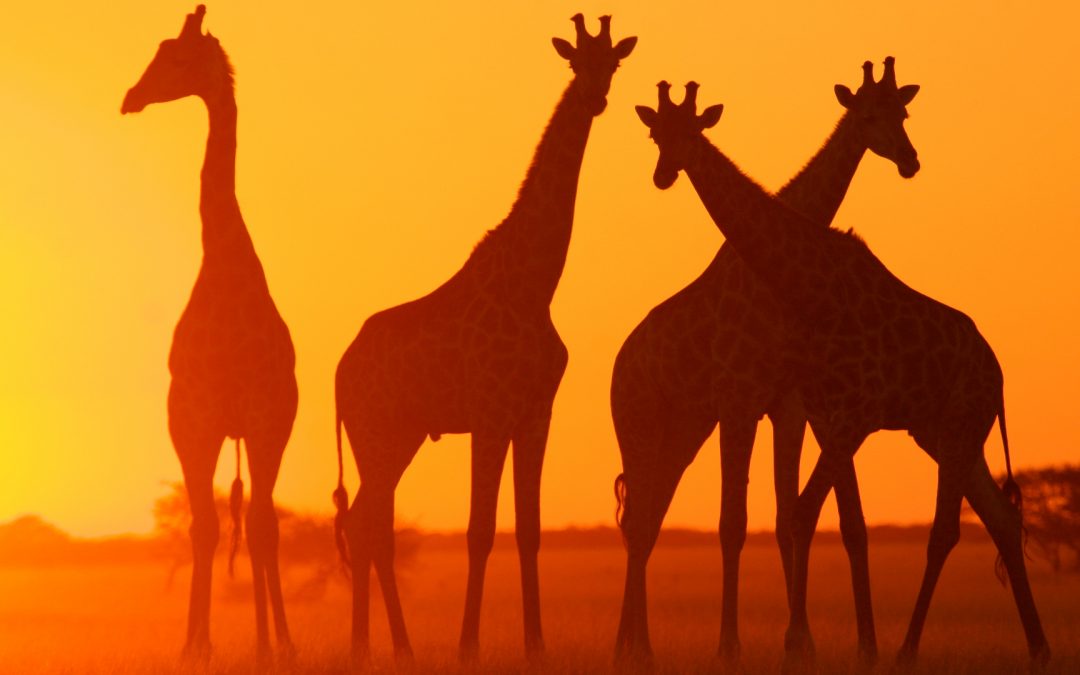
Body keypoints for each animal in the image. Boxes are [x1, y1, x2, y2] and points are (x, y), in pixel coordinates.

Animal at [121, 5, 296, 663]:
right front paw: (196, 645)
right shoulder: (193, 419)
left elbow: (264, 527)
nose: (131, 97)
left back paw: (273, 642)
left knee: (259, 520)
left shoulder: (267, 418)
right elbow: (205, 528)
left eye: (174, 57)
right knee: (223, 521)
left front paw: (279, 646)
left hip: (257, 430)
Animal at [332, 14, 636, 663]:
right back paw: (385, 647)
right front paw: (468, 645)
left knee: (366, 523)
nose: (595, 98)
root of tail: (339, 373)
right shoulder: (491, 415)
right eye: (575, 61)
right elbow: (478, 530)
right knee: (369, 526)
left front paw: (537, 644)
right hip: (376, 434)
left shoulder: (536, 414)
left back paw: (379, 647)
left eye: (614, 63)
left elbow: (529, 529)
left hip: (399, 438)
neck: (535, 282)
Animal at [612, 59, 920, 665]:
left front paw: (802, 644)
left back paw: (635, 647)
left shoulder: (787, 403)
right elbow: (734, 522)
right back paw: (634, 651)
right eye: (656, 134)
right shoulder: (740, 401)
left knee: (648, 517)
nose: (909, 160)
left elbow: (785, 517)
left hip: (682, 432)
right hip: (639, 426)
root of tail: (616, 366)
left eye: (901, 113)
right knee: (638, 523)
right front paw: (730, 646)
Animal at [634, 80, 1049, 670]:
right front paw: (818, 644)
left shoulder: (840, 414)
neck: (811, 288)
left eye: (692, 133)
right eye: (656, 134)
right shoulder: (820, 415)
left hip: (958, 426)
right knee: (998, 519)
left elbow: (804, 515)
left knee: (951, 528)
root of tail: (998, 372)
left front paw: (803, 644)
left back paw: (918, 650)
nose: (664, 173)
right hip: (947, 435)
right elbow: (818, 519)